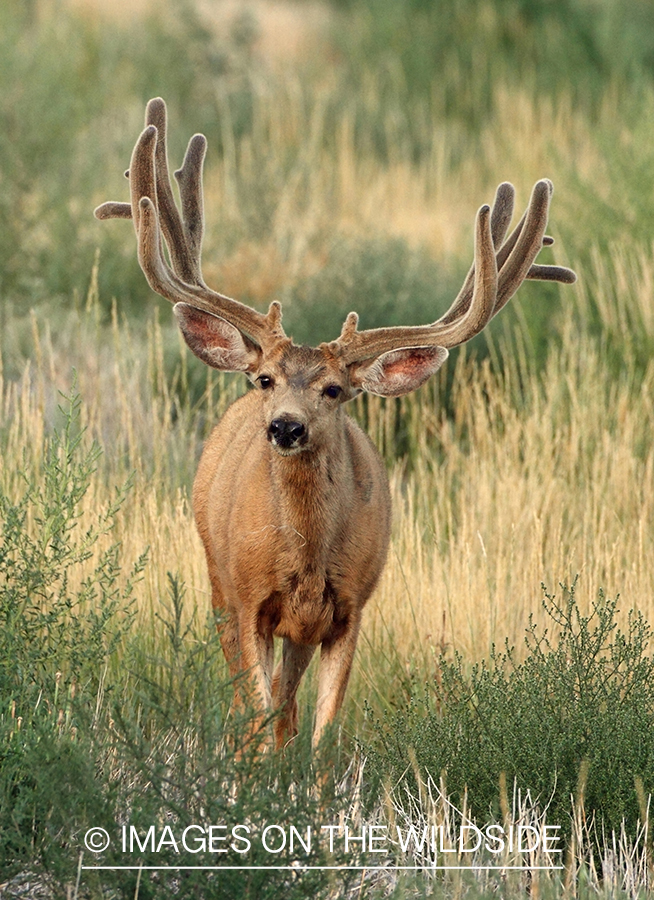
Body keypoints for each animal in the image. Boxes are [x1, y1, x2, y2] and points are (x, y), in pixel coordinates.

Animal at [95, 98, 576, 752]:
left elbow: (319, 741)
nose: (285, 427)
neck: (306, 558)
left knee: (287, 709)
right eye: (264, 378)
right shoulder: (249, 601)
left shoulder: (349, 610)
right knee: (248, 706)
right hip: (217, 585)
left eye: (335, 390)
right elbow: (258, 720)